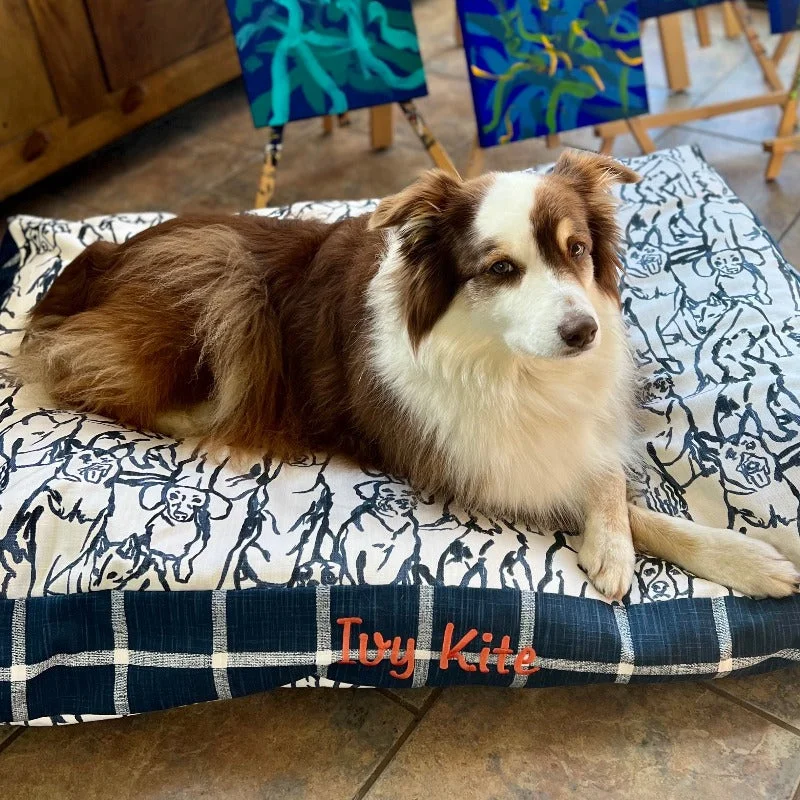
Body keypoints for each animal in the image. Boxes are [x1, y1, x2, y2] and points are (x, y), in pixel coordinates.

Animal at [17, 150, 800, 600]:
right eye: (500, 269)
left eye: (577, 250)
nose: (585, 333)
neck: (507, 365)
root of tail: (101, 254)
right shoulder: (472, 465)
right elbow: (620, 507)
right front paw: (626, 551)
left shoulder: (587, 409)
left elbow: (609, 477)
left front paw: (754, 549)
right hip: (223, 275)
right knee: (87, 376)